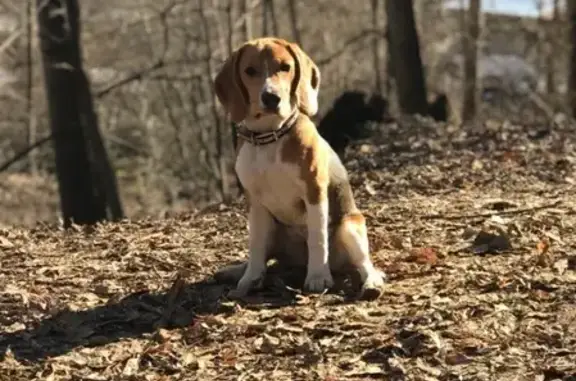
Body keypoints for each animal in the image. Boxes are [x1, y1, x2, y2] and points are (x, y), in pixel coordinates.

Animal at [214, 38, 384, 300]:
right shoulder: (255, 202)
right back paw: (238, 272)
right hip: (274, 230)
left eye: (285, 67)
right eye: (250, 71)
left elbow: (318, 238)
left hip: (350, 227)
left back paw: (371, 283)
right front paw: (249, 280)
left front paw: (318, 277)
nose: (271, 97)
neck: (270, 137)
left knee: (364, 264)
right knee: (265, 257)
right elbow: (255, 246)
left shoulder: (314, 192)